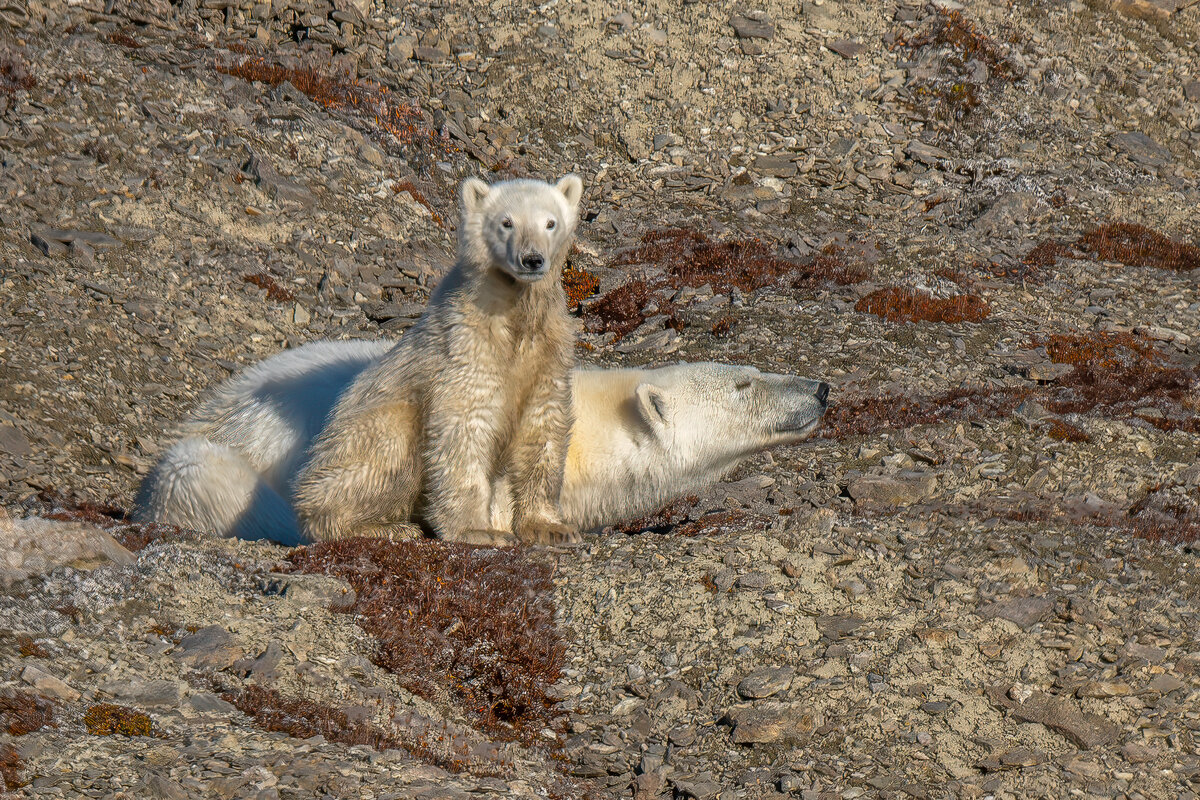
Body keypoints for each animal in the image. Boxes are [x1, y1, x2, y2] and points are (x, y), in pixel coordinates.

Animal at [289, 174, 585, 546]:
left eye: (550, 222)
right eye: (506, 223)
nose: (532, 259)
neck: (515, 316)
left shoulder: (549, 353)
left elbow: (542, 426)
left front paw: (553, 527)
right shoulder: (466, 348)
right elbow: (464, 428)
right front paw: (479, 530)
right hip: (362, 432)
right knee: (381, 453)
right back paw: (386, 526)